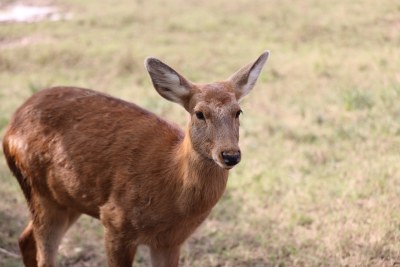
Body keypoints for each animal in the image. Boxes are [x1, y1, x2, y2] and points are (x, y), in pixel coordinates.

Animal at [2, 49, 268, 266]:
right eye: (199, 113)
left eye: (238, 111)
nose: (230, 154)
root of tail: (10, 128)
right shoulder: (115, 221)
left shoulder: (171, 240)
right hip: (39, 189)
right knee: (44, 255)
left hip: (67, 199)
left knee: (25, 239)